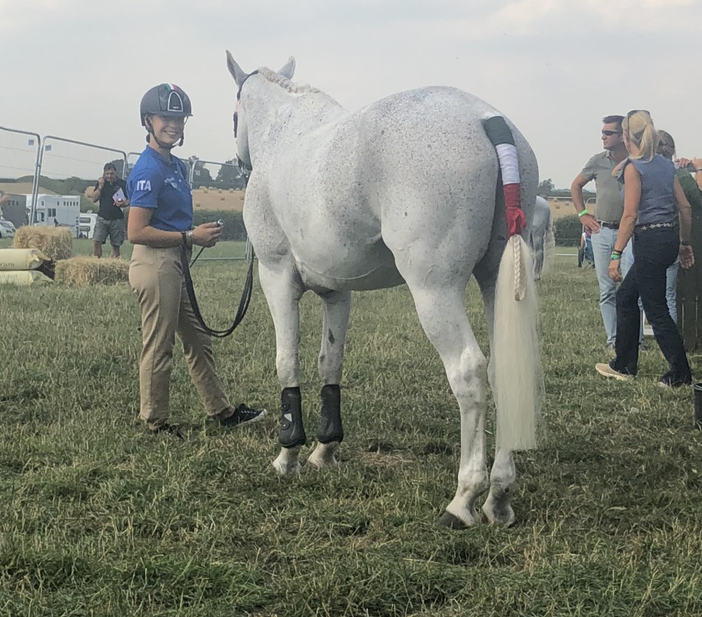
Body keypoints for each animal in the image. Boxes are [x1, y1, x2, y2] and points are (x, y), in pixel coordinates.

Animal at [226, 53, 542, 528]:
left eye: (234, 115)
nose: (239, 163)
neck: (285, 134)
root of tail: (489, 120)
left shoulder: (275, 276)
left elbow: (287, 362)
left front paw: (288, 456)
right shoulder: (337, 293)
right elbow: (330, 362)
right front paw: (324, 451)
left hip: (434, 289)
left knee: (469, 372)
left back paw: (463, 498)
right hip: (494, 283)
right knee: (501, 370)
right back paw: (499, 497)